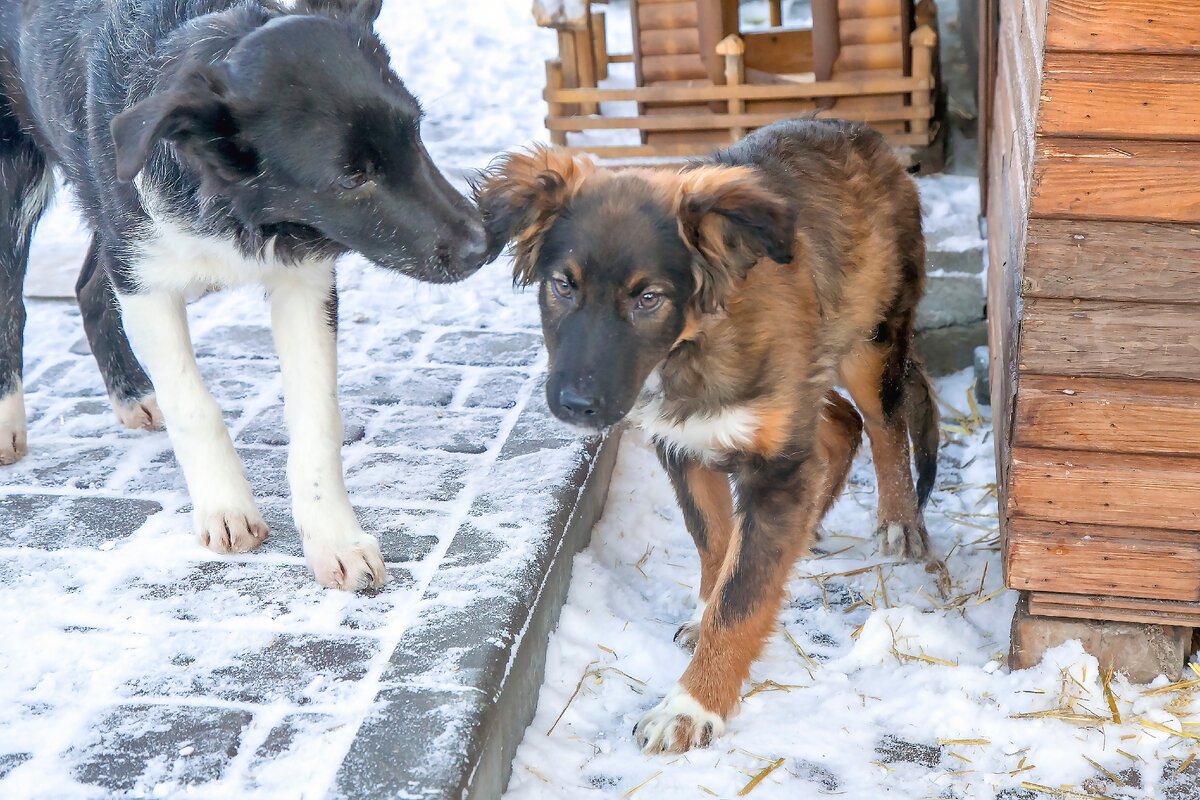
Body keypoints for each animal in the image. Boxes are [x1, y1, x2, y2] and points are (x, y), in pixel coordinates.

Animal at [1, 0, 487, 587]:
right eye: (351, 179)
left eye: (415, 130)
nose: (482, 245)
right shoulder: (147, 281)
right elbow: (195, 408)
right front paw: (226, 509)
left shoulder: (303, 282)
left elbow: (317, 419)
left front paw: (334, 538)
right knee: (14, 301)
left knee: (90, 287)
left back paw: (133, 394)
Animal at [470, 115, 936, 753]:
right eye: (563, 286)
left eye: (648, 298)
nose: (577, 406)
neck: (694, 341)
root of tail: (855, 130)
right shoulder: (682, 445)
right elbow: (717, 545)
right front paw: (706, 614)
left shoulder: (775, 464)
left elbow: (741, 598)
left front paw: (692, 706)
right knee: (840, 426)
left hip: (871, 340)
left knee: (884, 424)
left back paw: (899, 522)